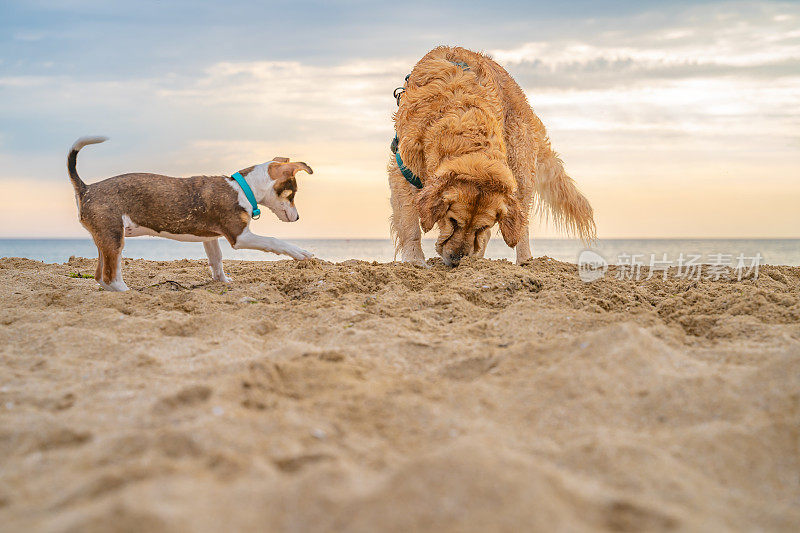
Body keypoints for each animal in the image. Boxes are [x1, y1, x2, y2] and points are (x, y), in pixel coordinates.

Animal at [68, 134, 312, 290]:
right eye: (292, 194)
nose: (299, 217)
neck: (243, 187)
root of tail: (86, 188)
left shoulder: (210, 237)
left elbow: (216, 260)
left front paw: (222, 281)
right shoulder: (240, 237)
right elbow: (273, 241)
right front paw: (300, 252)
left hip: (106, 237)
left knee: (100, 276)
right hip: (113, 237)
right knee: (109, 277)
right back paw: (127, 292)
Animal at [390, 46, 596, 266]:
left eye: (481, 226)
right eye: (452, 220)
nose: (457, 261)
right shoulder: (403, 170)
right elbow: (409, 223)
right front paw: (414, 260)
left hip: (520, 171)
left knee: (521, 225)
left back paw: (524, 261)